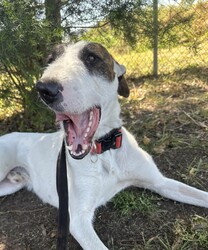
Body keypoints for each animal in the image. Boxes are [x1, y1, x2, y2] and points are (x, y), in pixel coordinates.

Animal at [0, 40, 208, 249]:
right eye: (50, 60)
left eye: (91, 58)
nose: (45, 89)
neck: (105, 150)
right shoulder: (78, 219)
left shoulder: (161, 182)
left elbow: (201, 195)